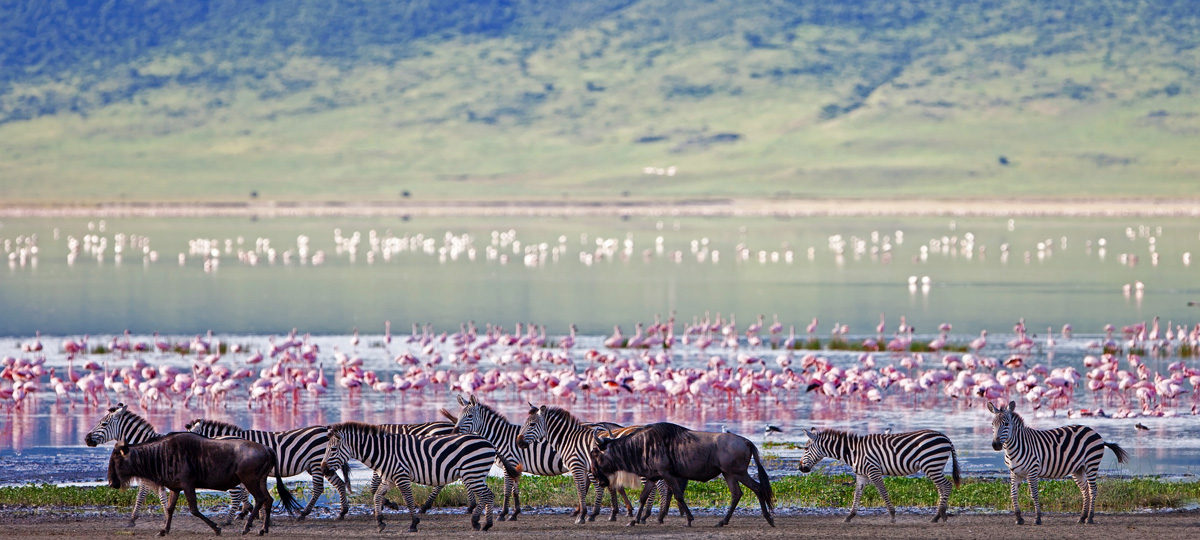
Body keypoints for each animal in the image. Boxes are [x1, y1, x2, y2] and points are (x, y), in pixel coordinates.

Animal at [184, 417, 350, 518]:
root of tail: (326, 429)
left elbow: (243, 492)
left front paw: (248, 511)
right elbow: (245, 492)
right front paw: (249, 510)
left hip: (316, 463)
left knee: (318, 488)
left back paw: (304, 513)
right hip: (322, 465)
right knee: (340, 484)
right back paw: (343, 512)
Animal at [319, 422, 511, 530]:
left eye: (333, 449)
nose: (323, 469)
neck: (384, 452)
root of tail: (489, 442)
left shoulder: (401, 476)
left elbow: (409, 500)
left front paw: (413, 523)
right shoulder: (389, 479)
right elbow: (377, 496)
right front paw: (380, 521)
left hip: (473, 473)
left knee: (488, 495)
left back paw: (486, 524)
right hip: (475, 474)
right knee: (485, 496)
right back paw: (477, 522)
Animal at [796, 427, 964, 523]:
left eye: (805, 448)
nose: (800, 468)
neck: (853, 452)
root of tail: (945, 437)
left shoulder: (873, 471)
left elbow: (883, 492)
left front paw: (892, 516)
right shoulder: (861, 475)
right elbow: (857, 494)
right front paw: (850, 516)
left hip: (931, 464)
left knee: (946, 485)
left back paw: (940, 515)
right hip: (934, 466)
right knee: (942, 487)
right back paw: (938, 516)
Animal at [988, 400, 1128, 523]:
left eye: (1006, 424)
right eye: (992, 424)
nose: (995, 445)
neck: (1014, 448)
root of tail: (1094, 432)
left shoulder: (1032, 471)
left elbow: (1034, 494)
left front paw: (1038, 518)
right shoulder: (1015, 472)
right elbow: (1013, 494)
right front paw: (1018, 518)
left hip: (1091, 464)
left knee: (1093, 490)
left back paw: (1090, 518)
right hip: (1078, 469)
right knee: (1085, 490)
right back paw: (1082, 517)